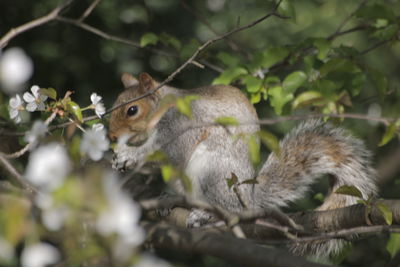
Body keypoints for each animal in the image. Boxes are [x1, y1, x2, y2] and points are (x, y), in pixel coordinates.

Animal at [108, 73, 378, 258]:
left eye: (132, 110)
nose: (111, 137)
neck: (162, 109)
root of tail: (250, 198)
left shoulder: (182, 124)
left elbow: (168, 152)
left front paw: (129, 156)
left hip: (216, 171)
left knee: (229, 207)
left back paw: (205, 214)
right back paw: (170, 200)